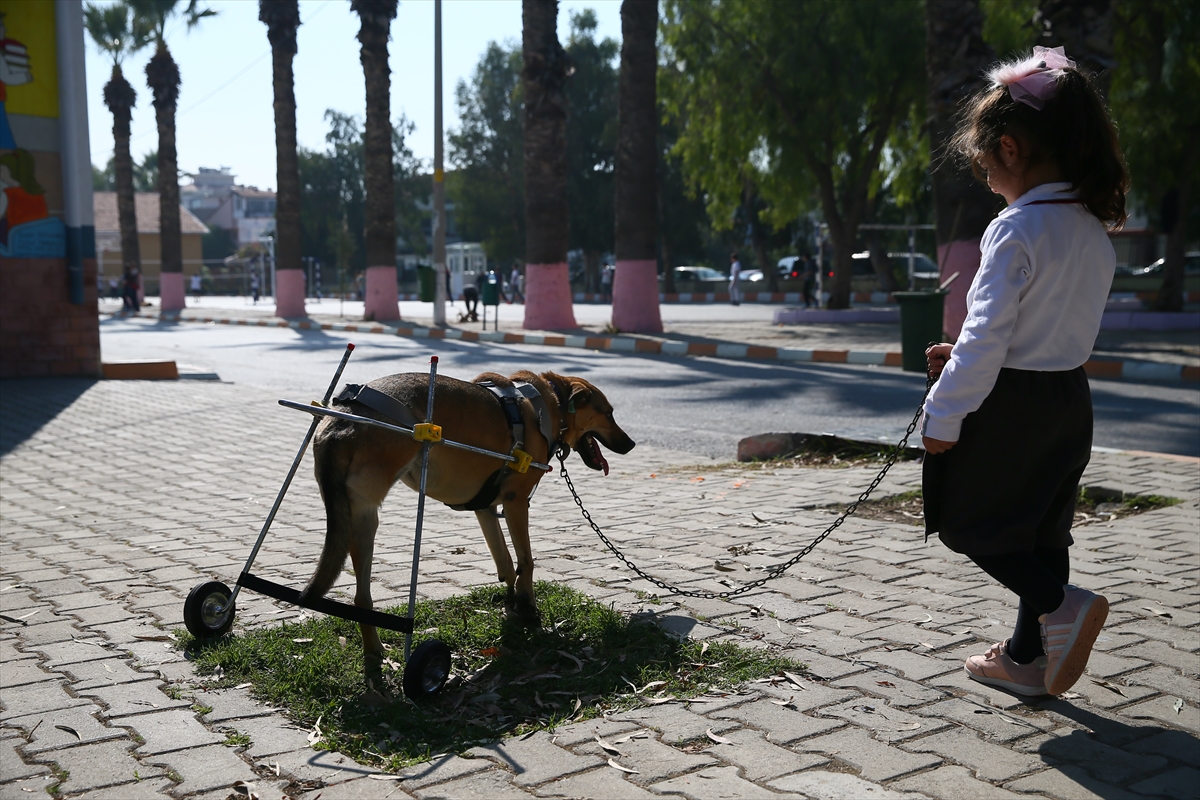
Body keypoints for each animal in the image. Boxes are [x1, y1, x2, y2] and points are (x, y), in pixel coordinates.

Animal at [297, 369, 638, 676]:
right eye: (609, 413)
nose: (632, 444)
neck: (551, 400)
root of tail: (340, 421)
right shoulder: (516, 503)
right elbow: (526, 561)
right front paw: (528, 608)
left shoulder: (486, 509)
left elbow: (505, 562)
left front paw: (512, 602)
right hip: (367, 513)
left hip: (358, 521)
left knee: (361, 597)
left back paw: (374, 651)